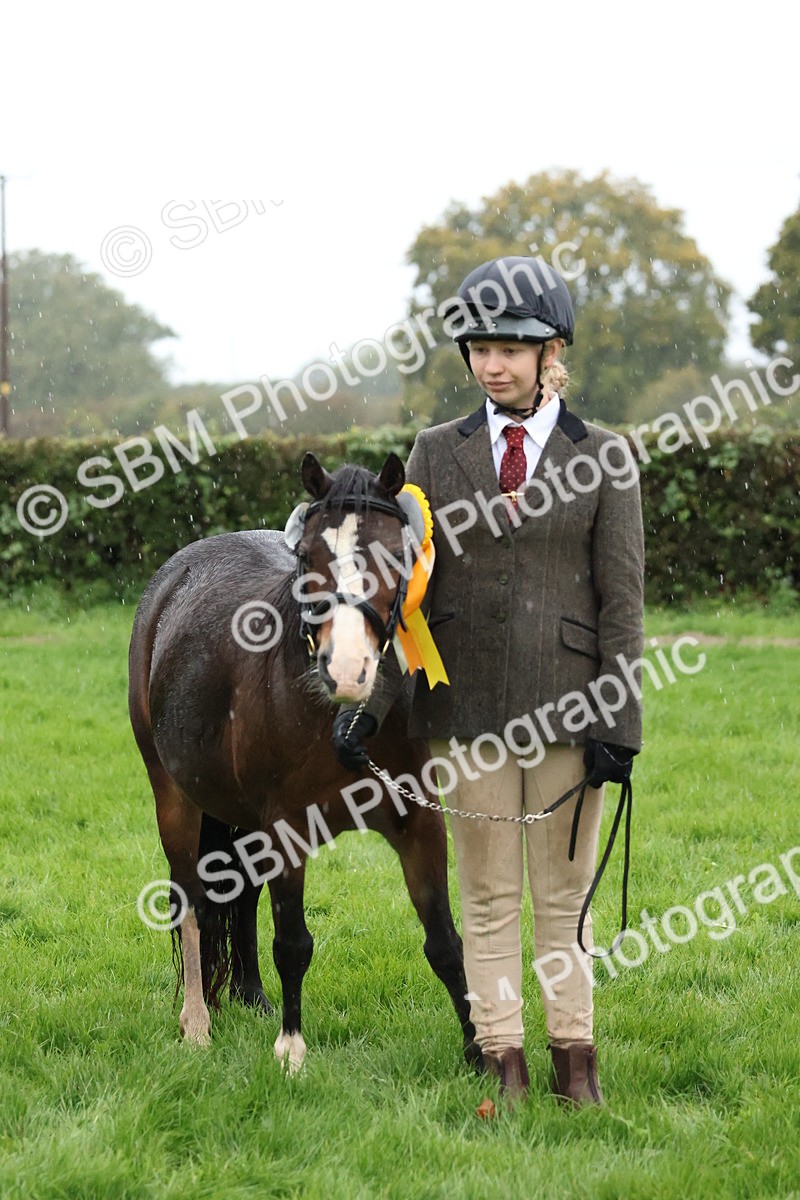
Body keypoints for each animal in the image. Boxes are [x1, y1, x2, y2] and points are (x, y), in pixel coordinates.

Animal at [128, 449, 477, 1074]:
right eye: (306, 557)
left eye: (395, 554)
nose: (347, 671)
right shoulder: (287, 830)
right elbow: (292, 943)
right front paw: (291, 1050)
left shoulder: (419, 823)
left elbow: (443, 940)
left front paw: (482, 1053)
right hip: (174, 797)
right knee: (191, 900)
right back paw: (197, 1023)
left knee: (239, 894)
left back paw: (250, 996)